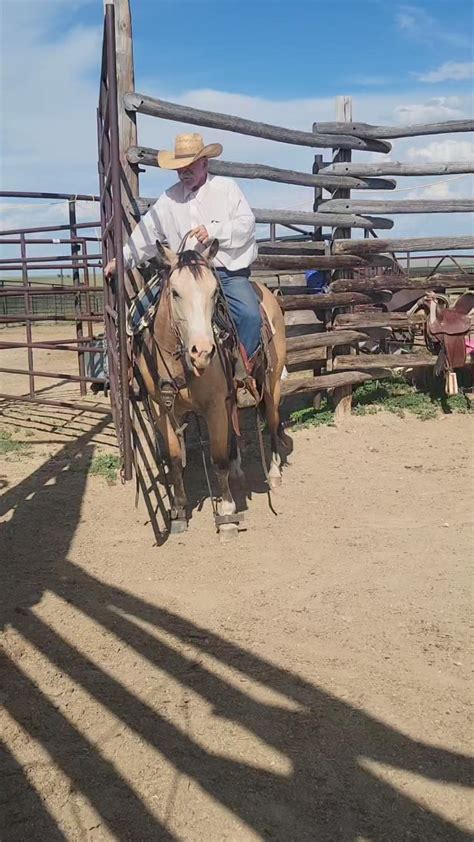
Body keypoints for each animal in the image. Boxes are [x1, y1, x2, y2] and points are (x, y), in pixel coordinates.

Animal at [134, 238, 288, 540]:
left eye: (215, 292)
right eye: (175, 292)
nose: (202, 351)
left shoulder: (214, 407)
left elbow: (217, 460)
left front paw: (227, 516)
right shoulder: (163, 409)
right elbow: (174, 457)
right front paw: (179, 511)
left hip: (272, 383)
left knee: (273, 421)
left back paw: (274, 472)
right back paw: (238, 468)